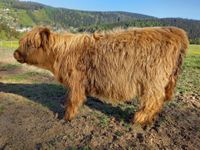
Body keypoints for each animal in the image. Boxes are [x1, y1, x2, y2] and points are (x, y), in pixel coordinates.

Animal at [13, 27, 188, 125]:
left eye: (29, 44)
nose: (15, 53)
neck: (61, 54)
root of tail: (175, 32)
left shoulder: (76, 81)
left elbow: (72, 100)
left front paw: (67, 118)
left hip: (153, 81)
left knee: (153, 100)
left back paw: (138, 120)